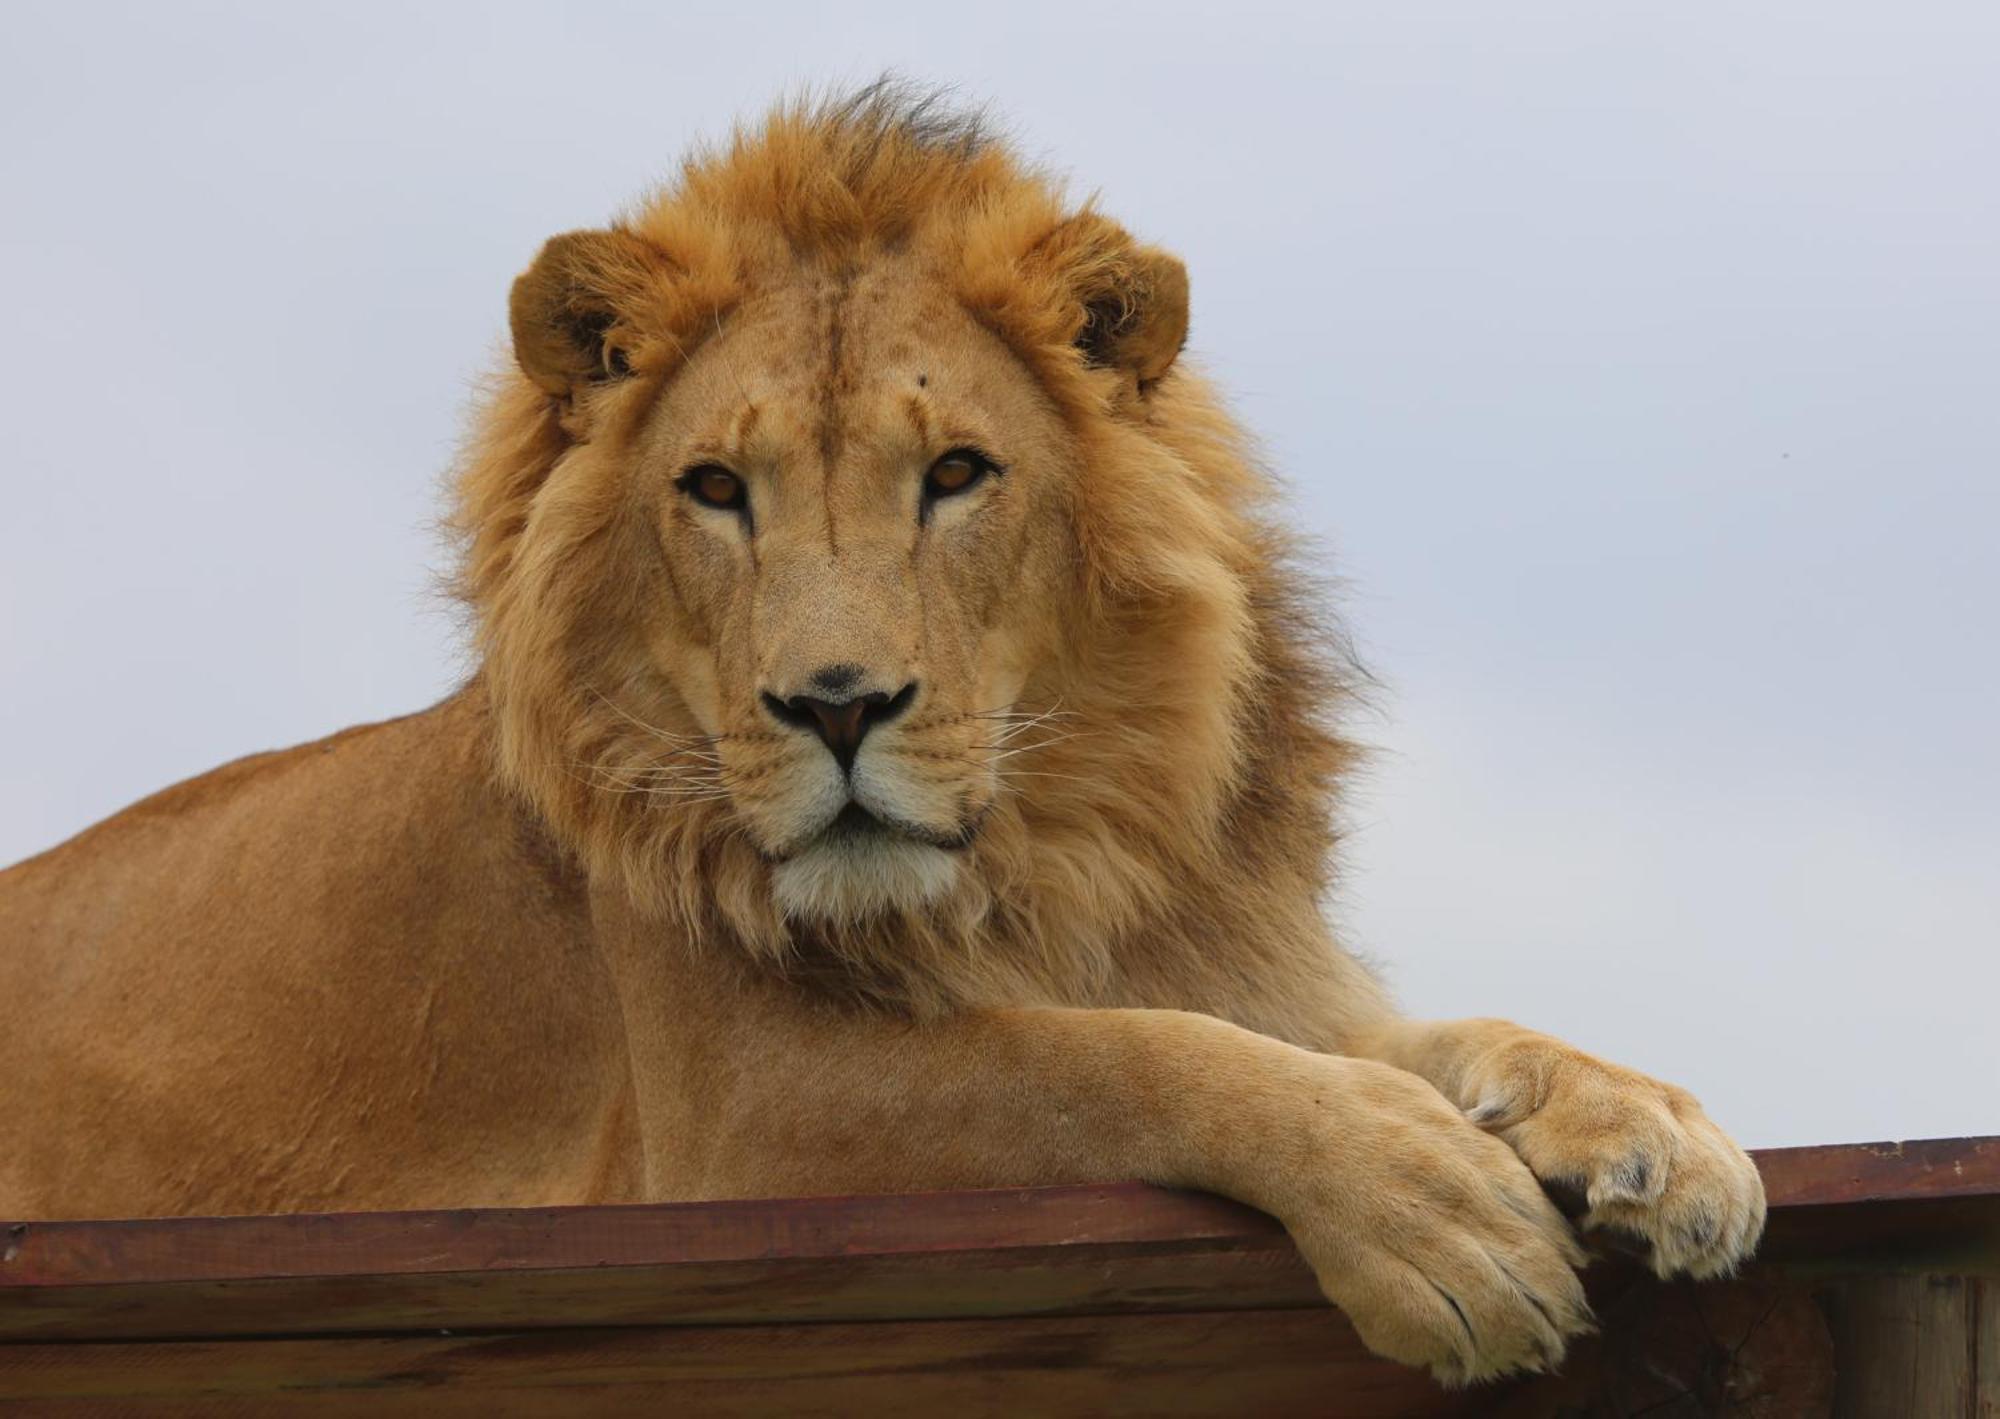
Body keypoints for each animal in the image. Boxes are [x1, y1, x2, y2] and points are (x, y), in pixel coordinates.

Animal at [0, 88, 1768, 1391]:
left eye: (959, 473)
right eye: (718, 488)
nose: (836, 703)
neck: (1052, 856)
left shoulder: (1257, 967)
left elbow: (1436, 1034)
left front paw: (1654, 1131)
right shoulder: (742, 1119)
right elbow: (1097, 1060)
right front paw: (1435, 1221)